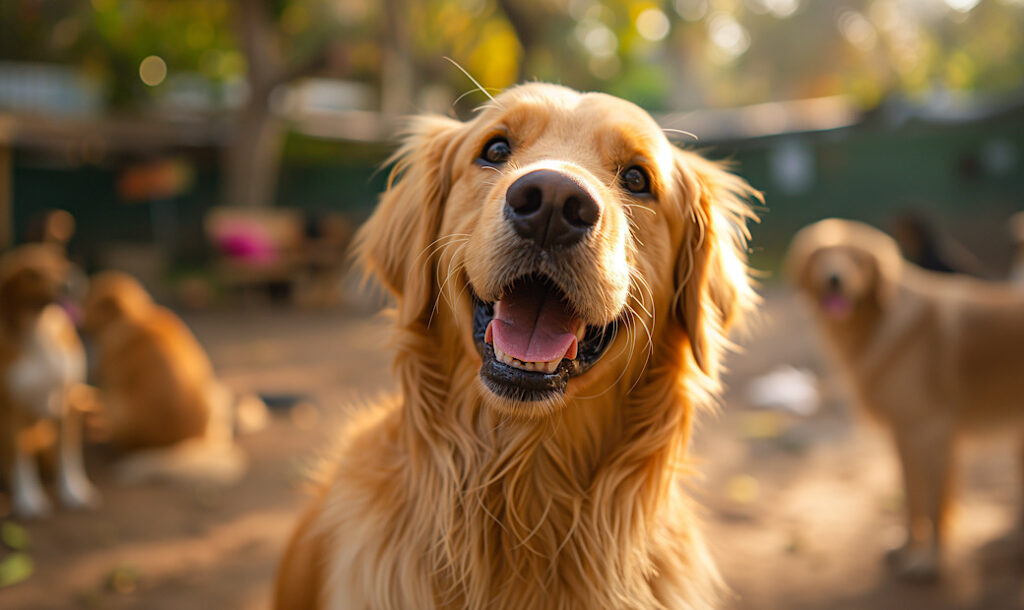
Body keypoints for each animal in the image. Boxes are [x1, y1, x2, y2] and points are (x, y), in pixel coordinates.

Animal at [0, 245, 99, 517]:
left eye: (60, 263)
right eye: (32, 274)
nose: (70, 283)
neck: (41, 328)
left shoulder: (69, 400)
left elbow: (68, 457)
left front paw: (73, 493)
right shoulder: (12, 409)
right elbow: (21, 463)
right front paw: (28, 499)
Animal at [82, 272, 249, 485]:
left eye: (87, 300)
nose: (80, 323)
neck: (134, 315)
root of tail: (176, 446)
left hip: (120, 408)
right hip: (218, 394)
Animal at [786, 216, 1024, 577]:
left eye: (856, 258)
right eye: (821, 255)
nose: (834, 279)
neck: (874, 323)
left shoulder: (933, 435)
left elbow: (935, 505)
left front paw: (929, 562)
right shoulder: (904, 436)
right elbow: (913, 499)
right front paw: (907, 548)